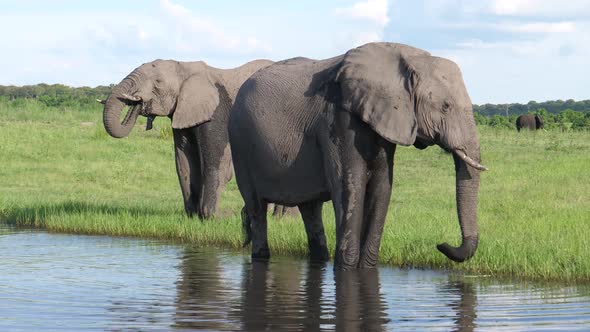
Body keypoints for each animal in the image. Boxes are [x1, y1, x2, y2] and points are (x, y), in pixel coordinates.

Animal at [103, 59, 298, 220]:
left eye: (158, 83)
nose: (138, 102)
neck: (185, 67)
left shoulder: (216, 112)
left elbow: (216, 163)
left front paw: (210, 217)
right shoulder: (183, 113)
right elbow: (184, 163)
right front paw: (192, 216)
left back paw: (287, 218)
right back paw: (276, 217)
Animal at [229, 42, 488, 270]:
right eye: (446, 106)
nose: (441, 244)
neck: (406, 56)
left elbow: (382, 189)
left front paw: (366, 268)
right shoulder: (338, 119)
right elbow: (349, 188)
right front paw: (346, 269)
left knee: (311, 211)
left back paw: (319, 257)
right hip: (240, 144)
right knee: (256, 208)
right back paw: (261, 255)